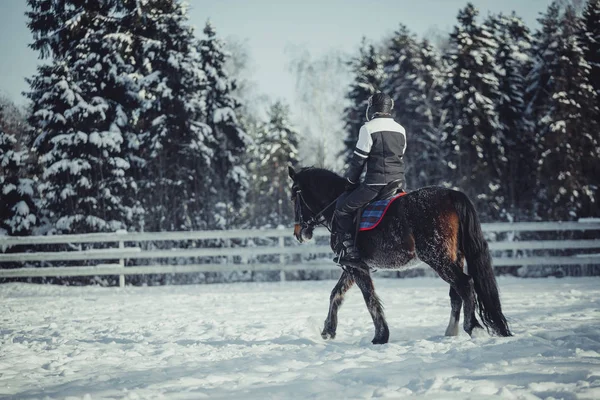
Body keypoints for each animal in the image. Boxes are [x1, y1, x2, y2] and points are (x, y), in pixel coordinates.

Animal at [288, 166, 510, 344]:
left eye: (293, 197)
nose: (299, 233)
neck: (335, 206)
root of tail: (450, 194)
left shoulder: (355, 266)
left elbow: (369, 298)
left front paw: (380, 336)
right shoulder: (355, 265)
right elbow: (336, 293)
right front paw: (328, 329)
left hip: (438, 258)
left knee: (465, 285)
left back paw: (473, 328)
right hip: (454, 257)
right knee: (456, 292)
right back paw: (451, 332)